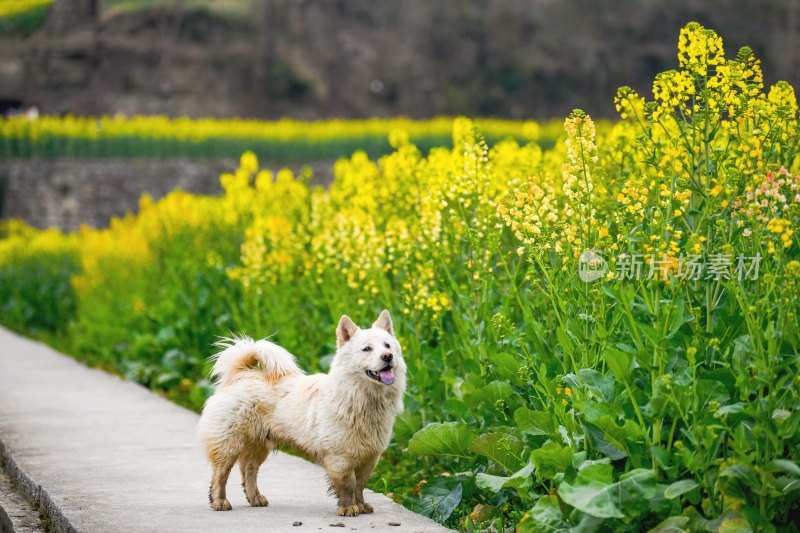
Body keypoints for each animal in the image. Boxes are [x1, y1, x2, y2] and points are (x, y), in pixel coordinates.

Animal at [195, 308, 406, 516]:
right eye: (367, 349)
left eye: (387, 345)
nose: (388, 356)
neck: (361, 398)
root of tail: (242, 373)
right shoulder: (340, 458)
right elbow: (348, 485)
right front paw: (347, 508)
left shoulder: (369, 457)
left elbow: (360, 485)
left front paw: (361, 506)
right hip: (229, 443)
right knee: (220, 474)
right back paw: (219, 502)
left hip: (258, 445)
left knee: (249, 470)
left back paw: (255, 498)